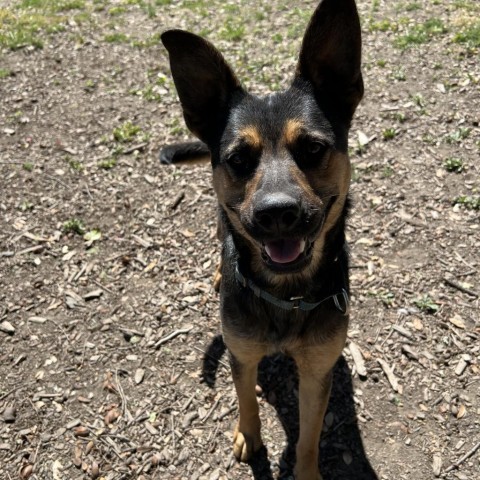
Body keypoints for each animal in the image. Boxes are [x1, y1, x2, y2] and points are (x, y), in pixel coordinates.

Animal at [159, 0, 362, 476]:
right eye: (237, 159)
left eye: (312, 148)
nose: (277, 214)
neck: (286, 296)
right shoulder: (243, 353)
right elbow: (245, 398)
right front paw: (249, 437)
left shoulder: (317, 372)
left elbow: (308, 436)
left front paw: (306, 472)